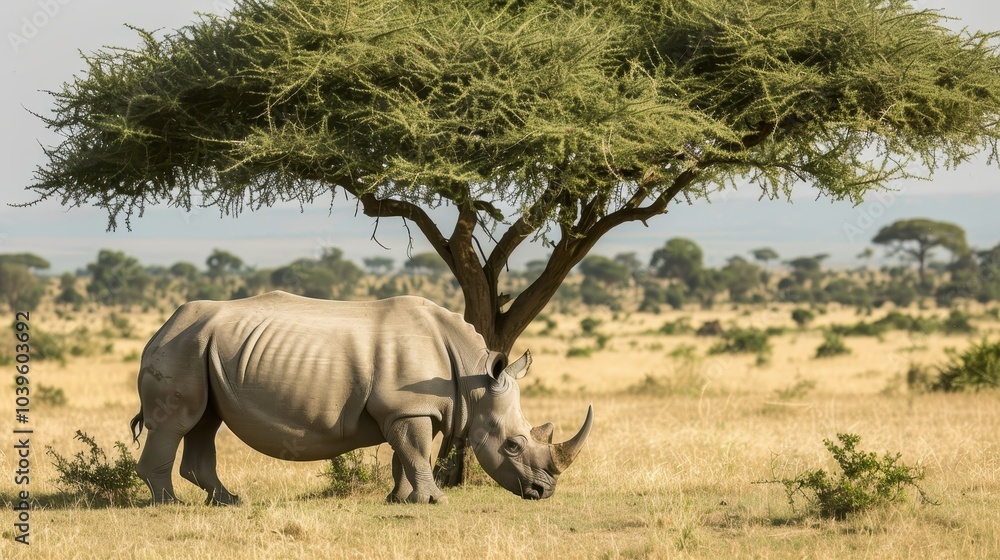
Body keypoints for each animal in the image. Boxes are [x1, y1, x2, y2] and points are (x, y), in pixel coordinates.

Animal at [129, 291, 592, 505]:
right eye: (512, 445)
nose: (543, 492)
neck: (472, 378)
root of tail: (162, 327)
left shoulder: (409, 408)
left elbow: (406, 456)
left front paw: (401, 500)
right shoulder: (408, 408)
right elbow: (417, 452)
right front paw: (435, 501)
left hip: (200, 348)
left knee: (204, 422)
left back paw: (228, 502)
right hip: (182, 347)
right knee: (177, 423)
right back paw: (170, 504)